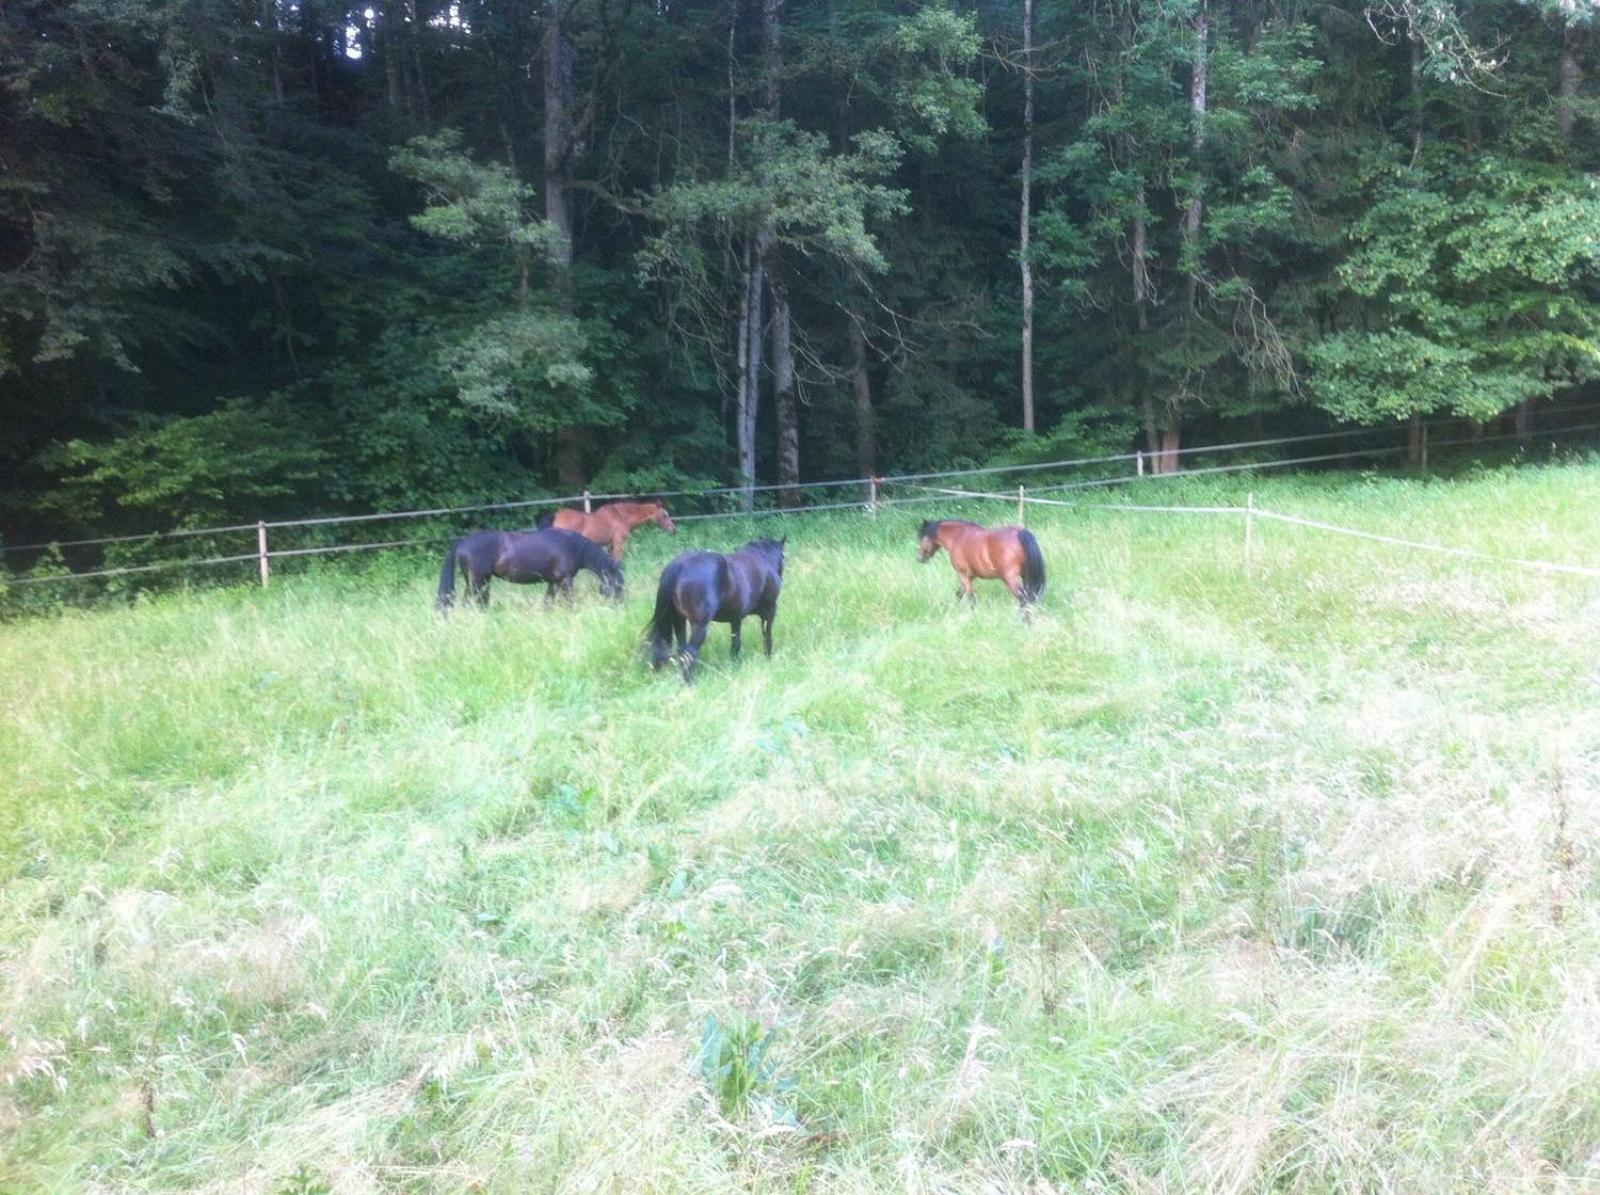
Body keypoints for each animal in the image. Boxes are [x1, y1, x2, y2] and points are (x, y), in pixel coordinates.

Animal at [438, 527, 624, 611]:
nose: (619, 606)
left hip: (482, 582)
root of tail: (462, 542)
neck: (573, 546)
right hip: (476, 582)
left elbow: (548, 603)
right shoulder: (565, 581)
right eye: (618, 584)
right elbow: (569, 602)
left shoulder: (553, 582)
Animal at [537, 499, 675, 566]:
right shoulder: (618, 542)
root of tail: (556, 515)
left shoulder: (610, 544)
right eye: (664, 515)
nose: (673, 529)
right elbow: (618, 560)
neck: (621, 516)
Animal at [643, 534, 780, 678]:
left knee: (682, 651)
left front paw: (735, 665)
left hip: (679, 621)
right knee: (690, 654)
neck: (762, 558)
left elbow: (736, 643)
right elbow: (767, 636)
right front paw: (768, 658)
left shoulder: (736, 618)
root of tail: (679, 565)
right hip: (699, 626)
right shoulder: (770, 611)